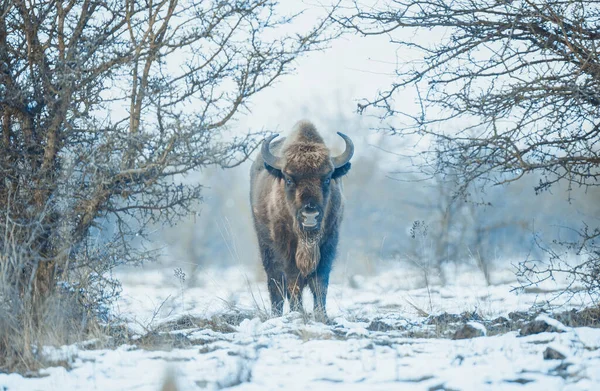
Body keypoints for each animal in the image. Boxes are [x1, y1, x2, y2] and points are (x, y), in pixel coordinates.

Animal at [248, 121, 352, 320]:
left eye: (327, 179)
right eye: (289, 179)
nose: (310, 215)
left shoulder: (329, 243)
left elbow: (320, 282)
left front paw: (321, 315)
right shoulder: (286, 247)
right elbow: (293, 280)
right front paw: (297, 312)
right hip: (265, 247)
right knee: (275, 284)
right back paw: (276, 313)